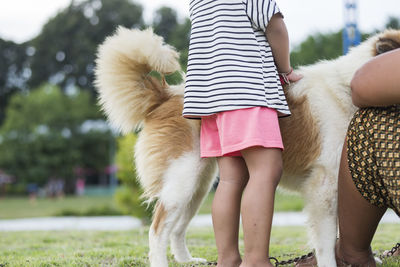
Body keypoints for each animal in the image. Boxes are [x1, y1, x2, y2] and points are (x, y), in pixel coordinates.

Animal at [94, 27, 400, 267]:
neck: (349, 88)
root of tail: (165, 96)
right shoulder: (324, 188)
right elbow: (326, 239)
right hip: (183, 180)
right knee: (157, 229)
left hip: (199, 184)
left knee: (177, 227)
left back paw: (187, 260)